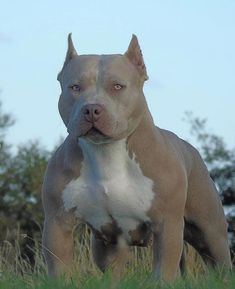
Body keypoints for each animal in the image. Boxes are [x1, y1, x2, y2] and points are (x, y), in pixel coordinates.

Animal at [41, 33, 231, 280]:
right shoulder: (58, 223)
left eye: (117, 86)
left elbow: (163, 270)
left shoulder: (167, 224)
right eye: (75, 87)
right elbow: (59, 267)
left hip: (210, 231)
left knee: (219, 259)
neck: (106, 152)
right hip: (106, 245)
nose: (91, 109)